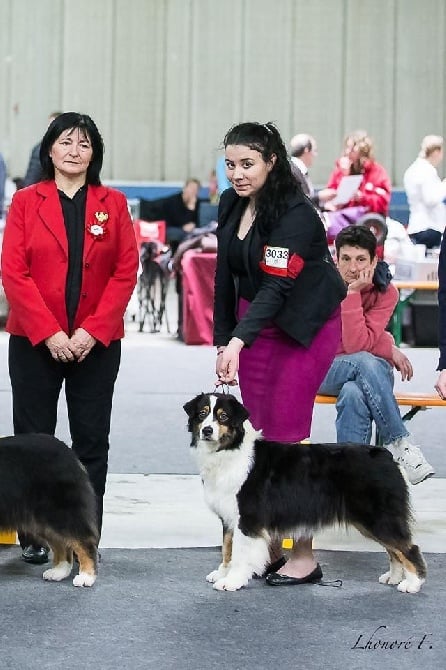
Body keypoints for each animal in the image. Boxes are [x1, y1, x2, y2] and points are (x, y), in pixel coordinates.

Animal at [0, 436, 98, 588]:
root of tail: (69, 453)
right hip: (41, 519)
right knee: (62, 544)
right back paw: (59, 572)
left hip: (59, 512)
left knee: (84, 541)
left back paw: (86, 577)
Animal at [183, 394, 426, 592]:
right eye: (202, 414)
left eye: (223, 417)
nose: (207, 431)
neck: (230, 450)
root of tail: (386, 455)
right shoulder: (229, 516)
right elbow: (227, 547)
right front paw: (222, 573)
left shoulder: (248, 517)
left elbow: (240, 553)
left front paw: (231, 581)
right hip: (370, 520)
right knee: (394, 549)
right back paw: (393, 577)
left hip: (378, 516)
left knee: (408, 547)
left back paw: (412, 583)